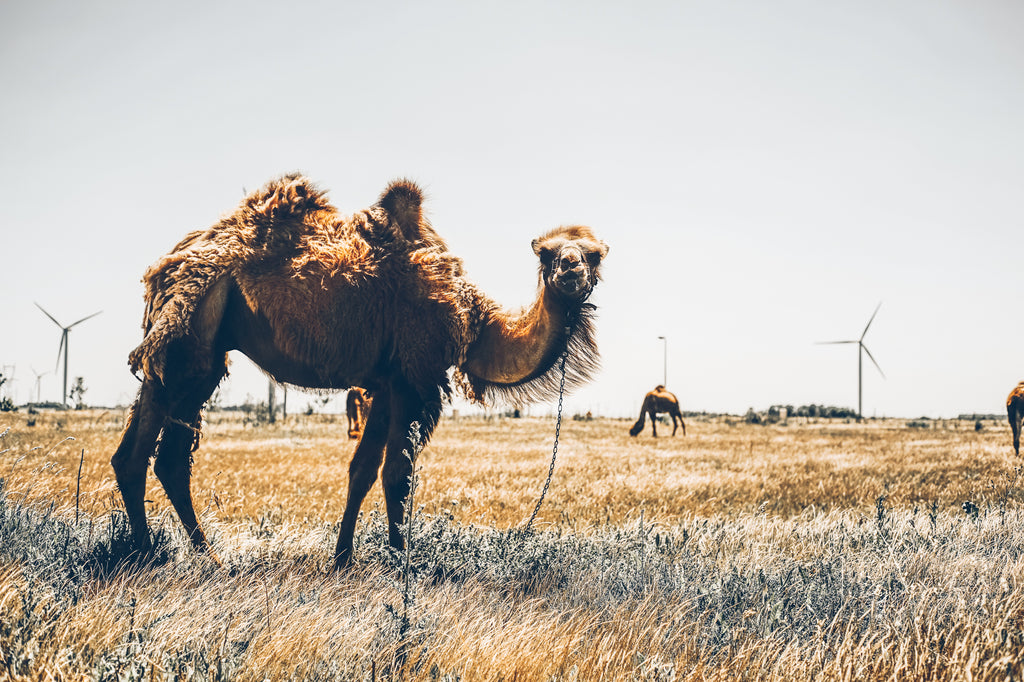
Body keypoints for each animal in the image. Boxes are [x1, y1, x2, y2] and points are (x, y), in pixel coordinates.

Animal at [112, 173, 606, 565]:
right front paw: (401, 558)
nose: (570, 268)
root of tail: (168, 265)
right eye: (546, 254)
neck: (474, 324)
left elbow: (363, 470)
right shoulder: (414, 377)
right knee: (142, 453)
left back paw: (202, 556)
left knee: (166, 457)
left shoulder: (386, 384)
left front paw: (344, 557)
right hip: (191, 332)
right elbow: (397, 474)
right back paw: (152, 554)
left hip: (202, 351)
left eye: (595, 254)